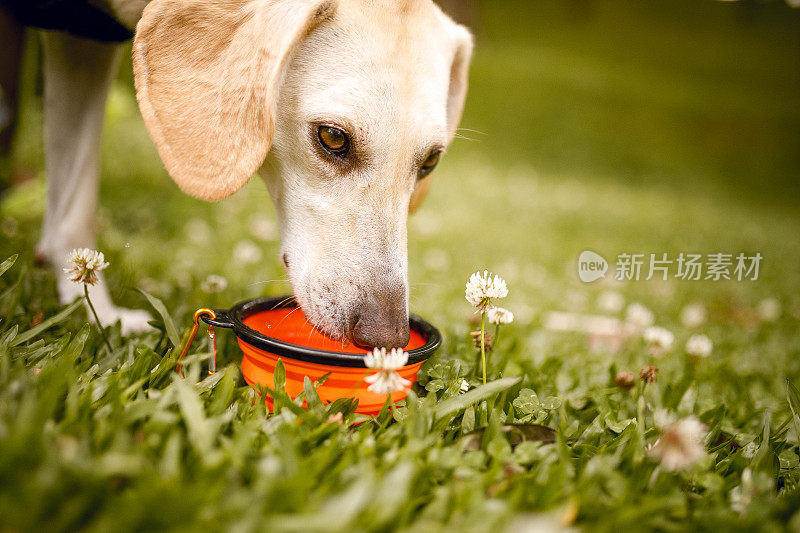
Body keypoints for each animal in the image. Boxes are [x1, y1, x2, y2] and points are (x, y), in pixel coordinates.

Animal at [1, 0, 476, 348]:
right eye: (333, 137)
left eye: (430, 161)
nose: (386, 338)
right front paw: (92, 309)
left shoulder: (85, 43)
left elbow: (72, 202)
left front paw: (91, 309)